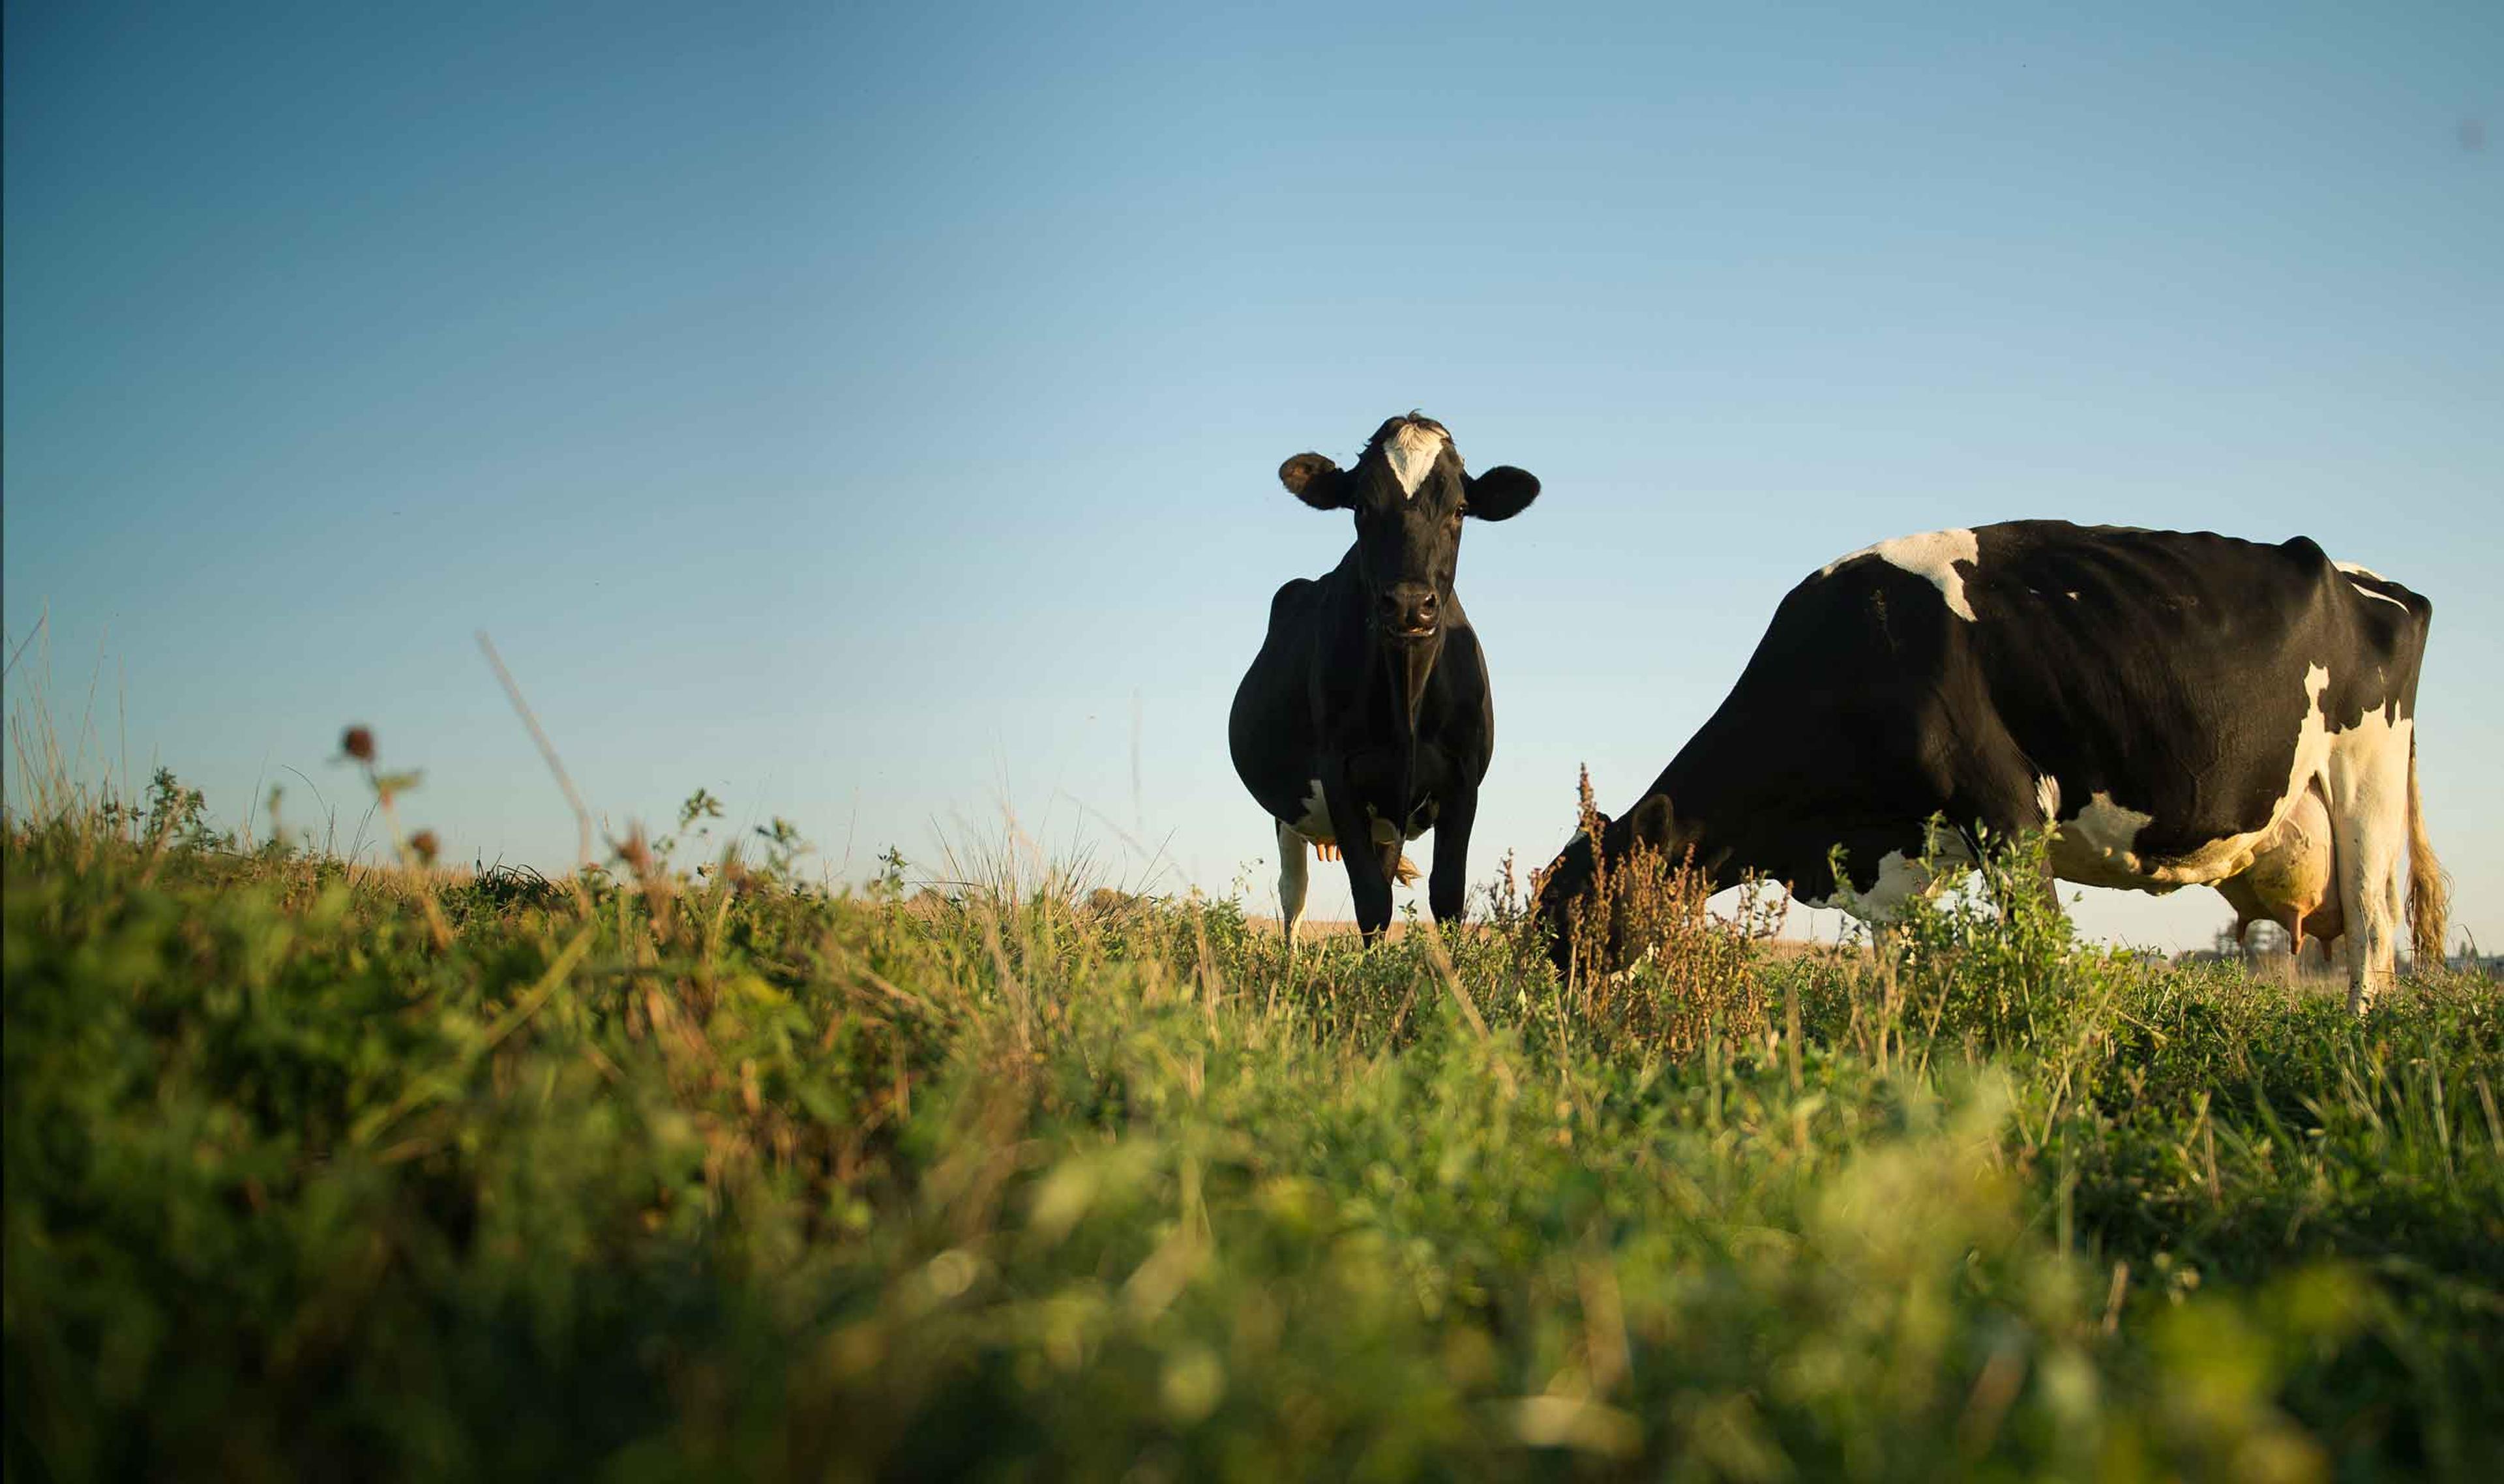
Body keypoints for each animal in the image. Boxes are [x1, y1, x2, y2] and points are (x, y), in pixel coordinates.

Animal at [1229, 413, 1542, 945]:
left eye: (1460, 508)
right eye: (1360, 507)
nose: (1410, 604)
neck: (1407, 700)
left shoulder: (1462, 781)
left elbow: (1447, 897)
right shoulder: (1341, 776)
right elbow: (1373, 904)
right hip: (1289, 813)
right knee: (1293, 895)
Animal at [1531, 521, 2445, 1013]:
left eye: (1578, 907)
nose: (1542, 1010)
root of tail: (2368, 578)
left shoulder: (2008, 810)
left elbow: (2038, 949)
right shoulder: (1895, 860)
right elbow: (1895, 970)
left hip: (2364, 773)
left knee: (2374, 928)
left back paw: (2358, 1040)